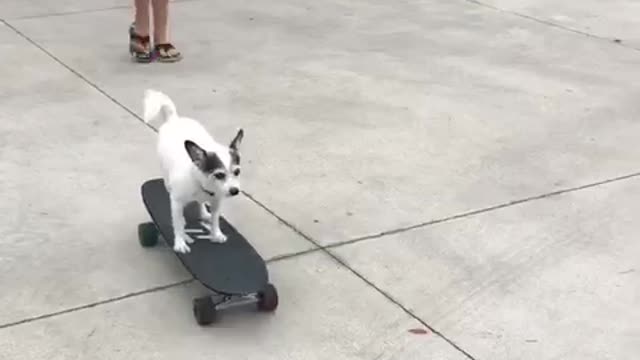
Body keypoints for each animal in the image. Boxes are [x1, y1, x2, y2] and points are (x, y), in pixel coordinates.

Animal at [144, 89, 244, 253]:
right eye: (219, 175)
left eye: (237, 172)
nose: (235, 191)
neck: (201, 184)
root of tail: (174, 119)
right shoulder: (177, 202)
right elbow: (178, 224)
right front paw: (180, 241)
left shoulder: (217, 202)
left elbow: (215, 219)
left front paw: (216, 233)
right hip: (166, 178)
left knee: (201, 204)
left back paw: (203, 212)